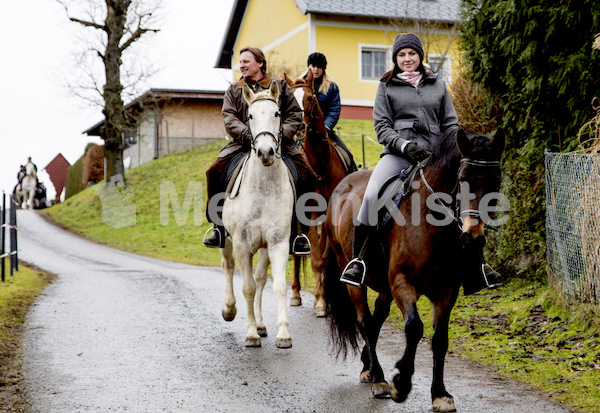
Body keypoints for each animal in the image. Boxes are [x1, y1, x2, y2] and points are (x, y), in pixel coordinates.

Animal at [220, 80, 296, 348]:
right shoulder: (241, 243)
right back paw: (229, 309)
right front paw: (251, 334)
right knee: (228, 266)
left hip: (263, 247)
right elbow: (248, 288)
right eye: (250, 116)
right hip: (227, 241)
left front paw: (282, 334)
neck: (263, 188)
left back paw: (262, 324)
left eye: (277, 113)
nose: (265, 152)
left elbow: (278, 286)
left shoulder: (278, 242)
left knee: (261, 278)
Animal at [284, 71, 354, 316]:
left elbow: (324, 257)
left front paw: (321, 299)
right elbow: (314, 258)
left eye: (309, 98)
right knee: (296, 254)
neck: (320, 166)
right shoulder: (311, 214)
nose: (298, 129)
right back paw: (295, 294)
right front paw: (321, 301)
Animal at [322, 128, 504, 408]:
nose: (473, 239)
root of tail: (343, 184)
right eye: (463, 178)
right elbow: (415, 327)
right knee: (365, 321)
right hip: (353, 276)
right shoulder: (402, 282)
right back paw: (379, 379)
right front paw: (401, 383)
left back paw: (368, 368)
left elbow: (440, 340)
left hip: (384, 286)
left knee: (377, 319)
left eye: (497, 183)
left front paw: (440, 393)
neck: (433, 224)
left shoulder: (447, 291)